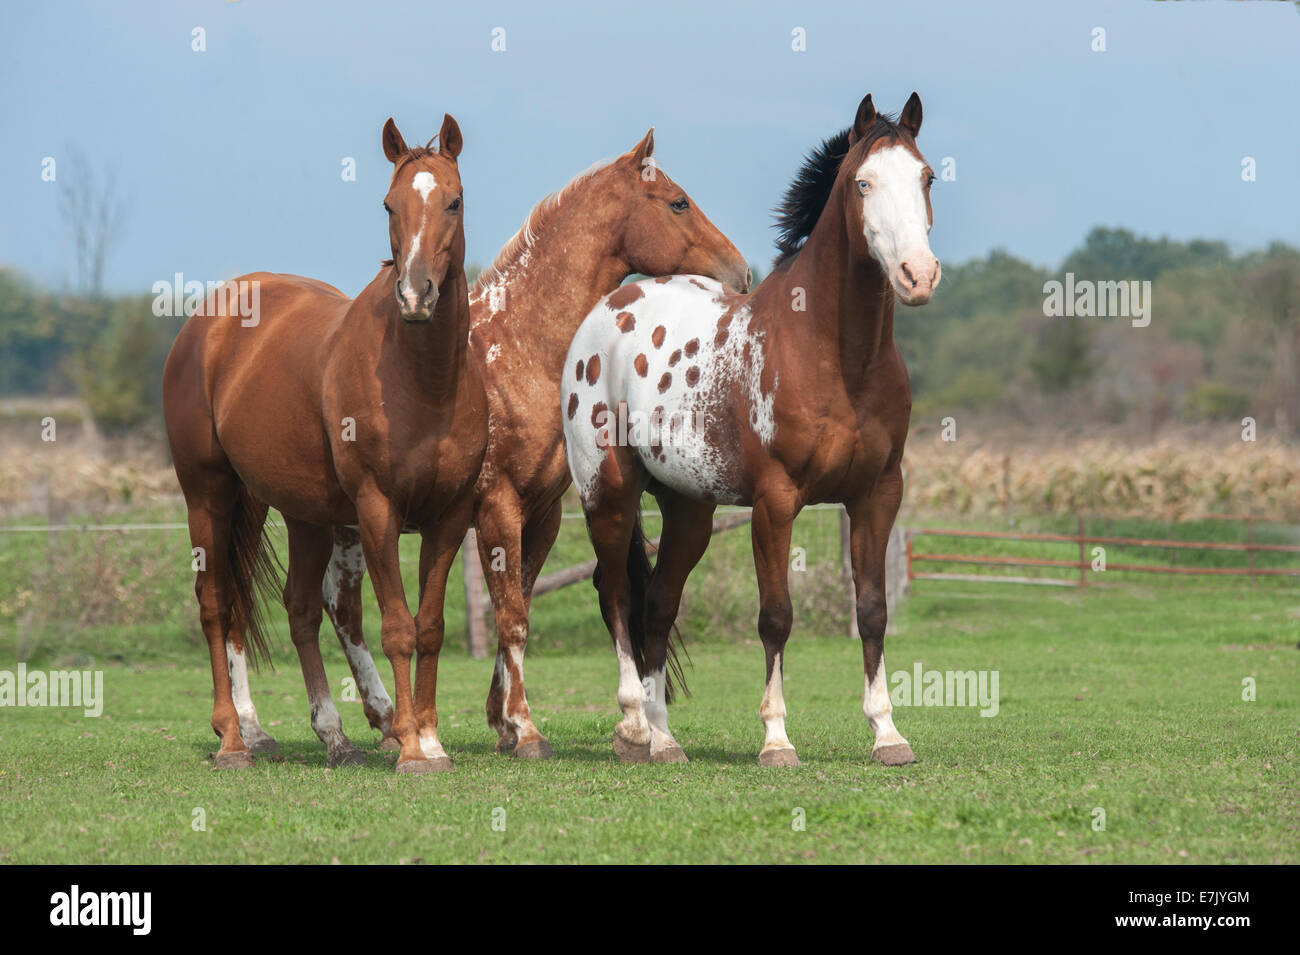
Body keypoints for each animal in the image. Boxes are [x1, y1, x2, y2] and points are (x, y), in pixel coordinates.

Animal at [163, 115, 485, 773]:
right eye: (388, 204)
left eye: (454, 200)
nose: (416, 296)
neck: (425, 382)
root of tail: (205, 323)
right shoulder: (377, 509)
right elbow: (397, 627)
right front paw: (410, 747)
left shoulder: (451, 516)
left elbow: (431, 625)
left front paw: (431, 740)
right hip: (208, 496)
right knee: (215, 603)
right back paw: (233, 739)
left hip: (295, 511)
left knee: (298, 608)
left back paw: (333, 736)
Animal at [230, 128, 750, 761]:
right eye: (678, 203)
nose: (740, 272)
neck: (514, 354)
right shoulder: (497, 507)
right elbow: (510, 617)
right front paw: (524, 728)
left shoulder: (540, 514)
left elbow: (517, 606)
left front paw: (500, 721)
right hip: (257, 505)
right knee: (238, 604)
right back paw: (253, 730)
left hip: (335, 520)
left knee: (337, 607)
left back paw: (382, 719)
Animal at [561, 92, 940, 766]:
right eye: (864, 183)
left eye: (927, 178)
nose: (917, 276)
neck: (833, 355)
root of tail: (607, 310)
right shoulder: (776, 501)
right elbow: (776, 615)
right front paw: (776, 739)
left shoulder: (877, 496)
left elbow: (872, 610)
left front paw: (888, 733)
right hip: (607, 492)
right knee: (616, 595)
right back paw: (632, 727)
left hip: (689, 511)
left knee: (658, 604)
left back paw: (664, 740)